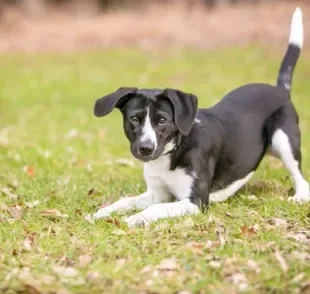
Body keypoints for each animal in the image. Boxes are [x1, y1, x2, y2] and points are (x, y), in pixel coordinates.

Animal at [91, 7, 308, 227]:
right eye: (134, 118)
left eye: (162, 120)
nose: (145, 148)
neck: (173, 151)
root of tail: (280, 90)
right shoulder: (157, 194)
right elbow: (124, 201)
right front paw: (100, 213)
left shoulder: (195, 201)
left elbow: (154, 209)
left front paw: (133, 219)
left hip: (284, 141)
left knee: (300, 177)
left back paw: (299, 196)